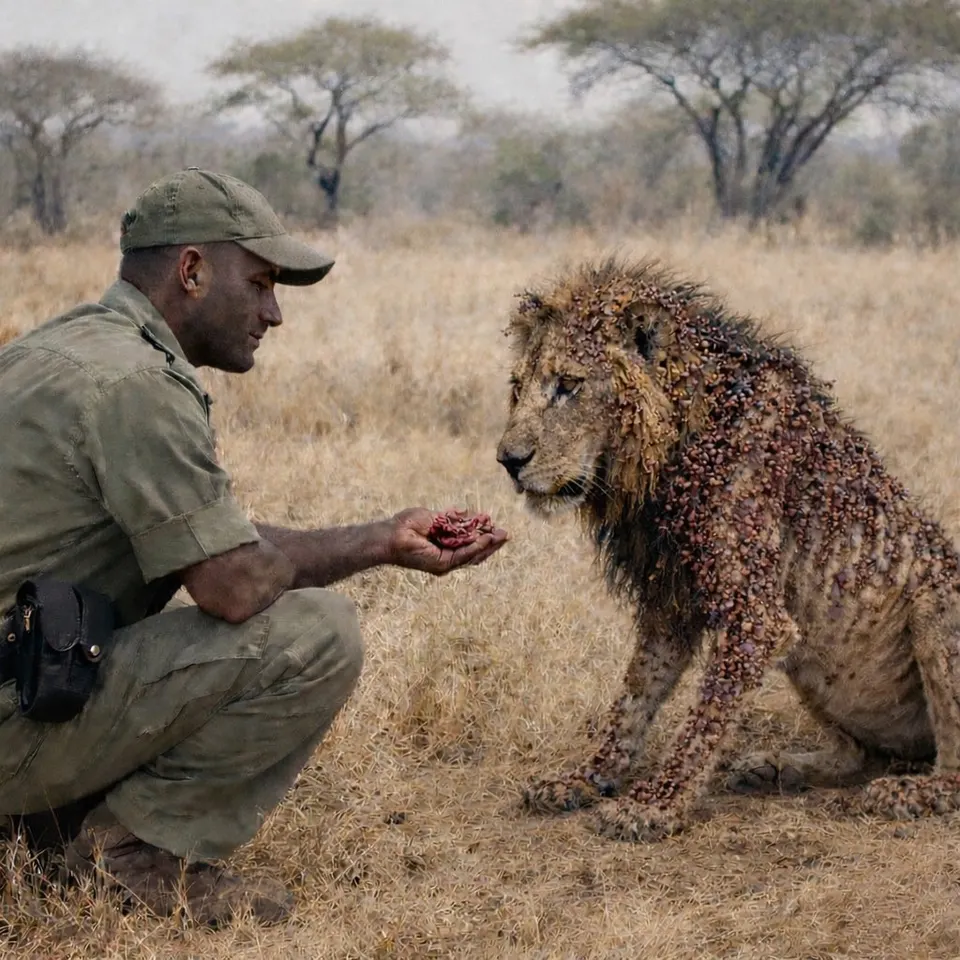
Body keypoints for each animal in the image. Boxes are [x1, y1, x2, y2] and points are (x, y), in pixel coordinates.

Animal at [495, 256, 960, 843]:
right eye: (517, 387)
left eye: (568, 385)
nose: (508, 460)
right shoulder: (669, 601)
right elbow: (633, 698)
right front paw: (582, 780)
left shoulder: (756, 615)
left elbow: (704, 720)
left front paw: (656, 804)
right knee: (860, 755)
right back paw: (774, 768)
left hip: (935, 603)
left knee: (950, 767)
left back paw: (907, 793)